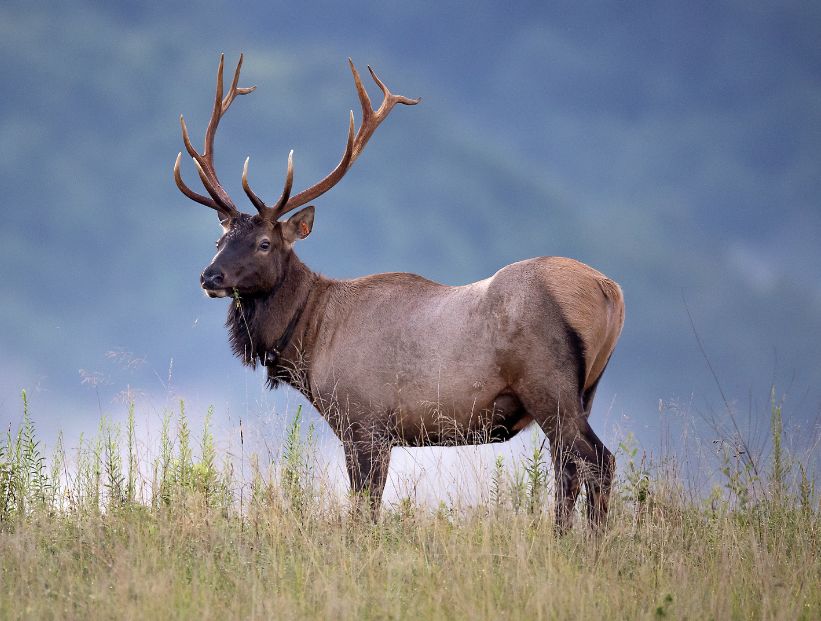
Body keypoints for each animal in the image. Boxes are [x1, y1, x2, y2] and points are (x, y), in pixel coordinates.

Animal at [173, 53, 620, 532]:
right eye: (219, 240)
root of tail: (610, 290)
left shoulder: (365, 422)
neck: (311, 339)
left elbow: (365, 507)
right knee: (569, 466)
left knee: (597, 461)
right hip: (582, 393)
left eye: (264, 243)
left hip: (548, 383)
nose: (209, 277)